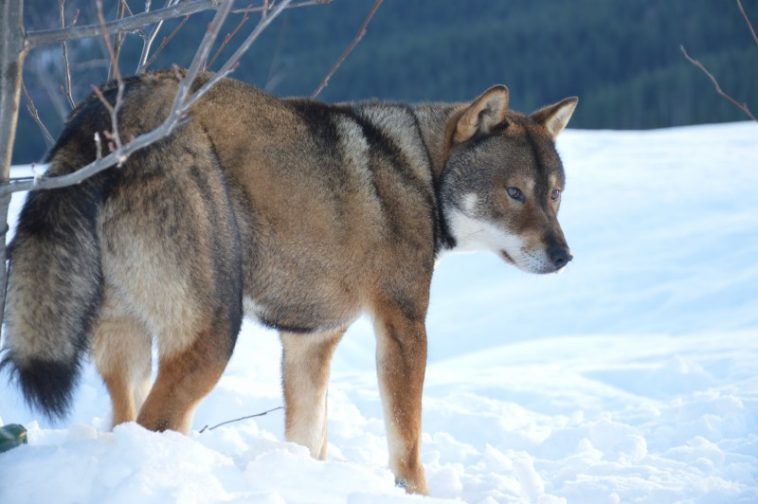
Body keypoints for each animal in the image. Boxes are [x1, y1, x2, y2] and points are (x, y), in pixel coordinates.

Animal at [1, 70, 576, 494]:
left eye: (554, 195)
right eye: (514, 193)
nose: (564, 256)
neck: (419, 173)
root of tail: (117, 100)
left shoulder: (310, 341)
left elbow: (307, 437)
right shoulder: (403, 326)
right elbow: (406, 441)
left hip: (129, 349)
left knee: (125, 424)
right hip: (213, 336)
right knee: (154, 422)